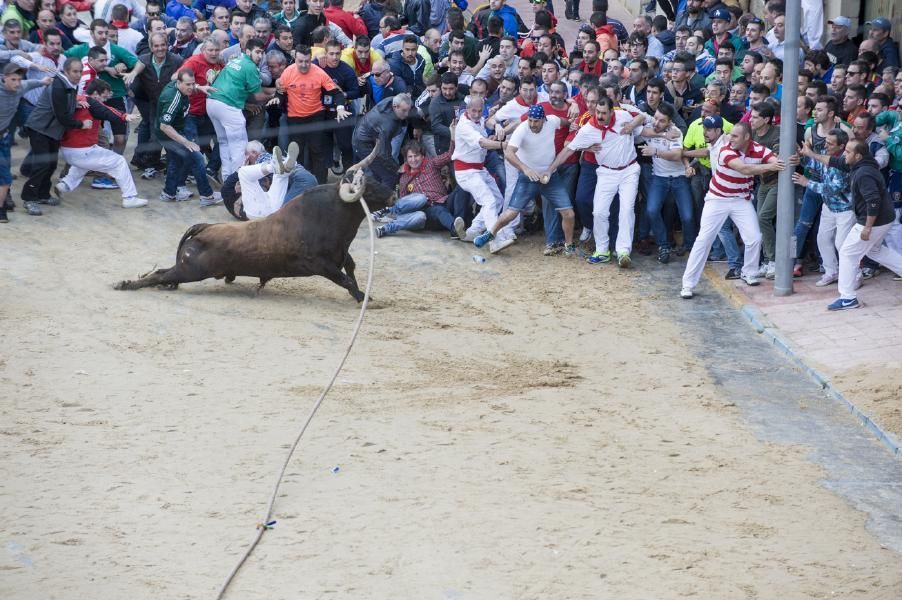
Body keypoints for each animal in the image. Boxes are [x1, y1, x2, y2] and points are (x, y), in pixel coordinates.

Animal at [114, 146, 396, 300]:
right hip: (191, 270)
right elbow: (346, 280)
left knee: (163, 273)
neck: (331, 215)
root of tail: (204, 227)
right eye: (367, 188)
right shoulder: (320, 264)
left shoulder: (342, 257)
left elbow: (351, 272)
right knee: (160, 275)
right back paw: (125, 284)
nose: (394, 194)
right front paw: (362, 297)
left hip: (187, 268)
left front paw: (364, 295)